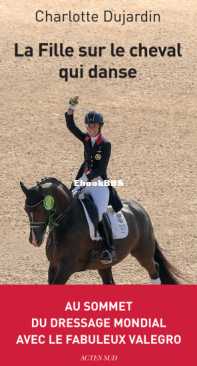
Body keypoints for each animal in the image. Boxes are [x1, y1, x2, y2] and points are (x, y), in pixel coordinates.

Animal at [20, 176, 183, 284]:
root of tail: (138, 208)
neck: (68, 220)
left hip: (143, 253)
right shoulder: (53, 266)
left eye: (41, 209)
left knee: (154, 269)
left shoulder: (66, 267)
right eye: (26, 210)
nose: (34, 240)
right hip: (103, 264)